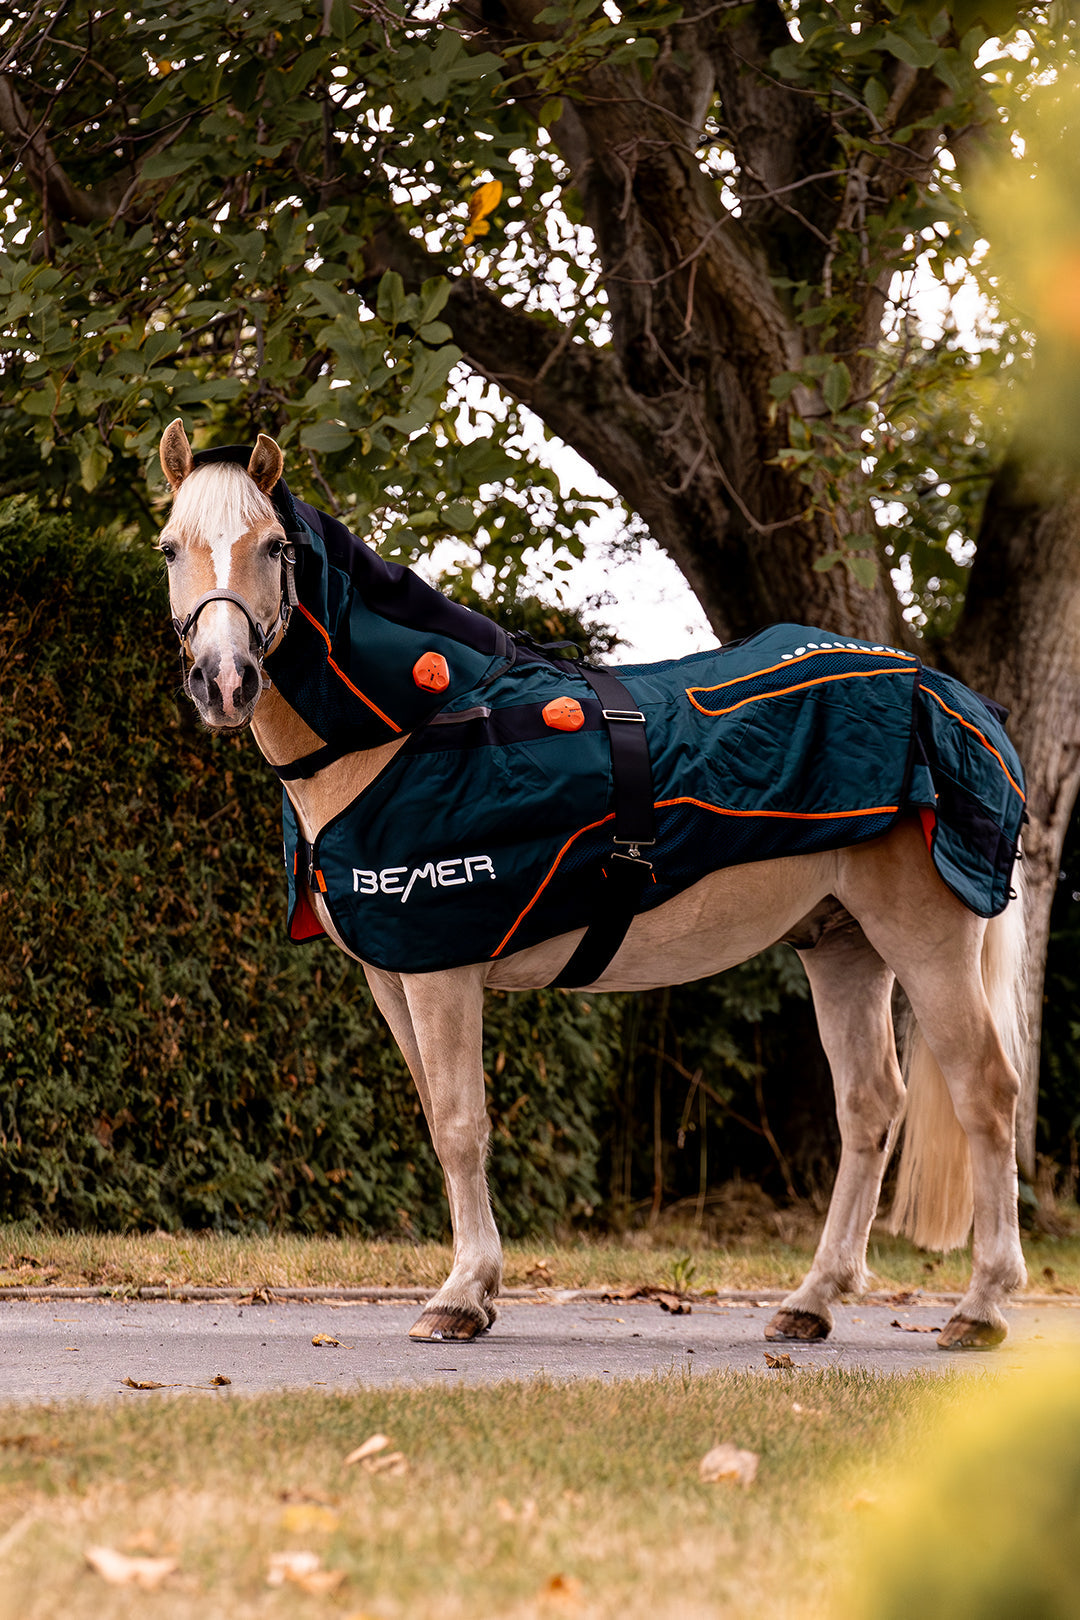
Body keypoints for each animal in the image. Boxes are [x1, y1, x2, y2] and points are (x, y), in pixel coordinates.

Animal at [155, 421, 1030, 1350]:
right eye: (171, 546)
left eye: (274, 547)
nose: (223, 681)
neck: (413, 726)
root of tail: (953, 697)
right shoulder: (393, 976)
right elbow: (436, 1119)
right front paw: (476, 1286)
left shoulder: (442, 972)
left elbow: (462, 1126)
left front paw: (461, 1296)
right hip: (842, 947)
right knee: (869, 1106)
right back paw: (812, 1300)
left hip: (924, 940)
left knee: (985, 1093)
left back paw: (979, 1307)